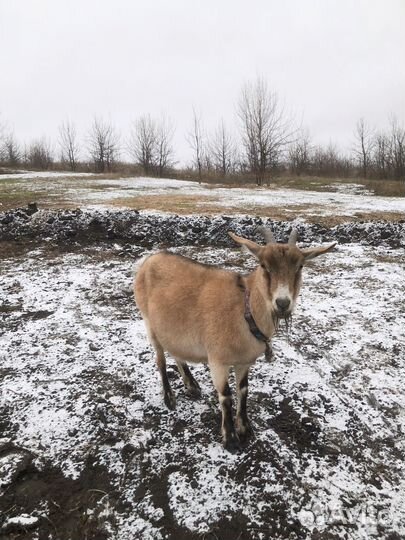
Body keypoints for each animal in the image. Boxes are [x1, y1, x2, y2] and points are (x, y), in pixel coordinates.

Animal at [134, 228, 336, 452]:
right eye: (263, 265)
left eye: (300, 266)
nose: (282, 303)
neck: (244, 311)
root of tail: (150, 259)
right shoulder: (217, 361)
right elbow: (226, 395)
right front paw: (230, 438)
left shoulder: (244, 362)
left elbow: (243, 390)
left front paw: (245, 428)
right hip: (148, 322)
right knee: (160, 360)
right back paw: (169, 398)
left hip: (172, 328)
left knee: (176, 352)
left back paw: (192, 385)